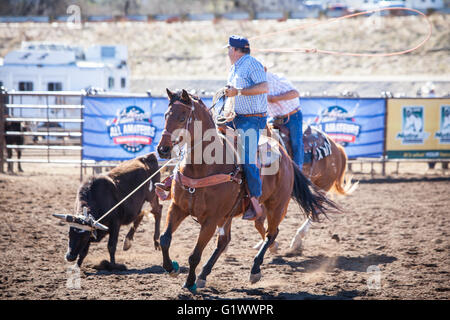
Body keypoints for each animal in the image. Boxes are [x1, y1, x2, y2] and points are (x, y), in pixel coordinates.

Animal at [156, 89, 336, 292]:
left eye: (182, 117)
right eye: (166, 115)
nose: (162, 149)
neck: (203, 167)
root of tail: (285, 156)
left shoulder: (211, 220)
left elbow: (194, 254)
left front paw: (189, 283)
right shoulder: (178, 207)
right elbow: (164, 239)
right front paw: (171, 268)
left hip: (276, 206)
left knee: (272, 234)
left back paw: (255, 270)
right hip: (229, 214)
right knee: (225, 241)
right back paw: (204, 274)